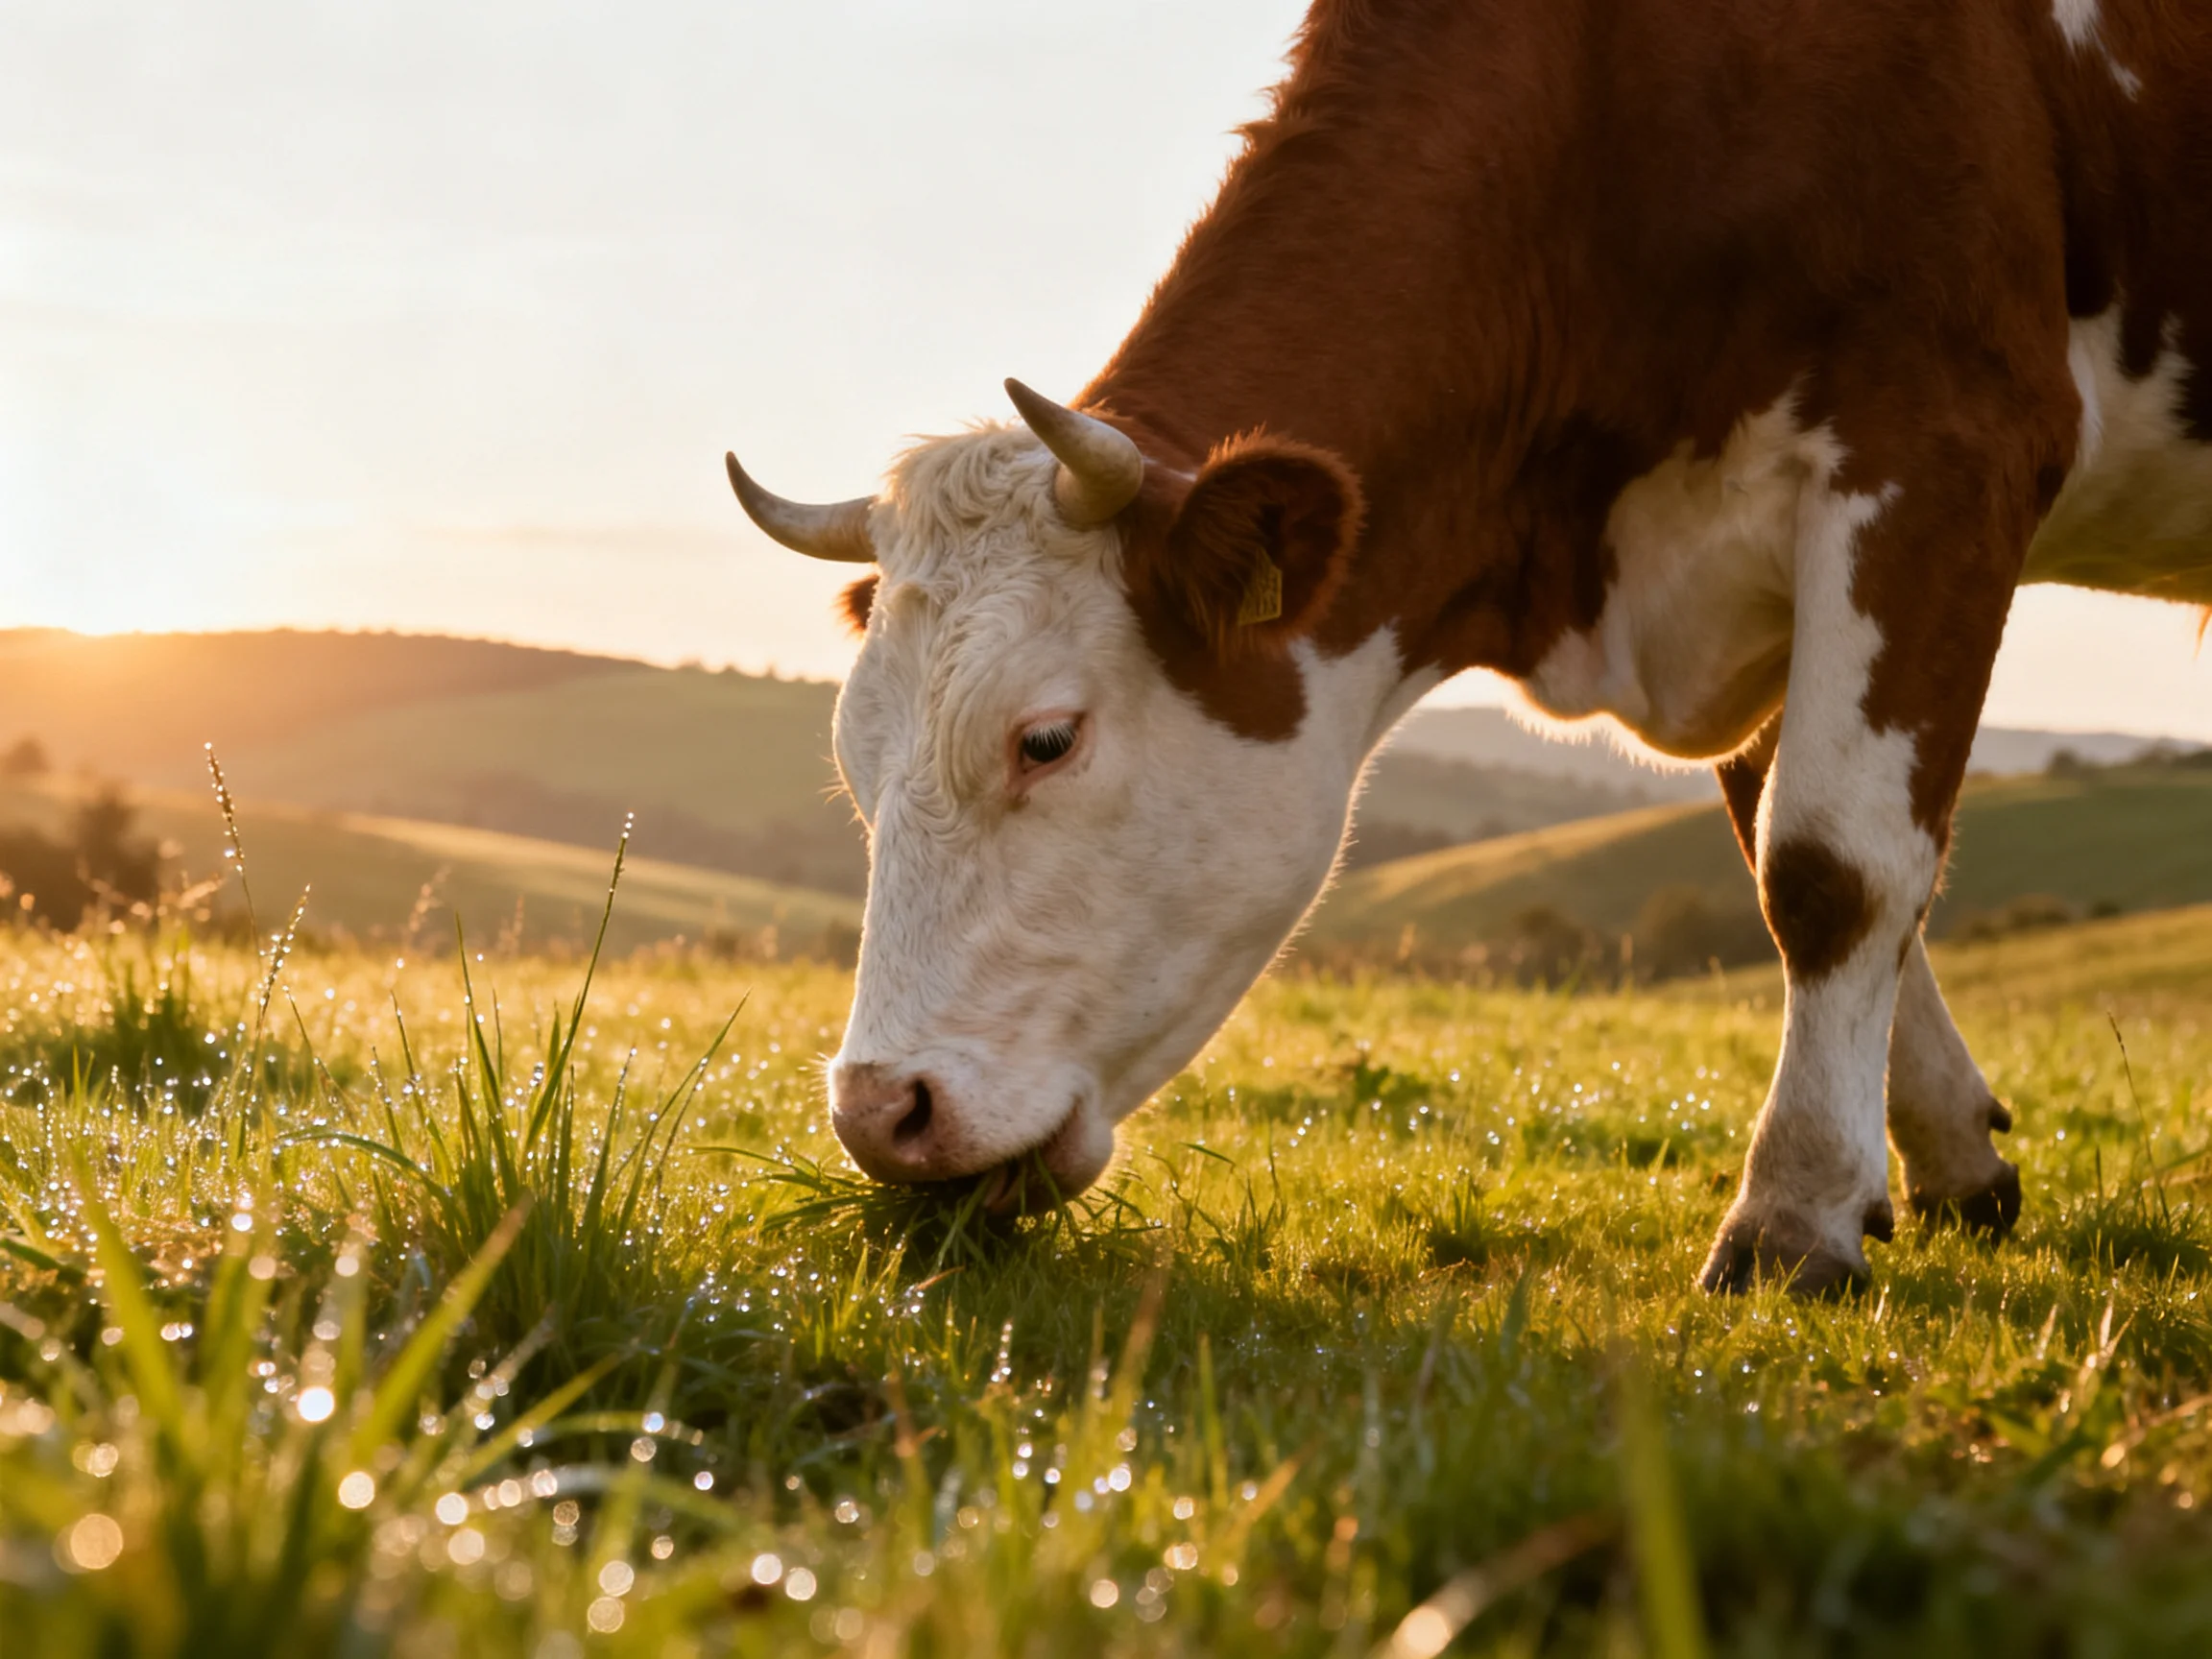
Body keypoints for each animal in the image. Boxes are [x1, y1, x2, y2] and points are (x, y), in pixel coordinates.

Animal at [725, 0, 2212, 1296]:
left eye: (1046, 738)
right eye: (854, 768)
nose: (881, 1115)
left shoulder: (1942, 439)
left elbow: (1832, 863)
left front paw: (1795, 1217)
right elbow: (1784, 841)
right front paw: (1950, 1159)